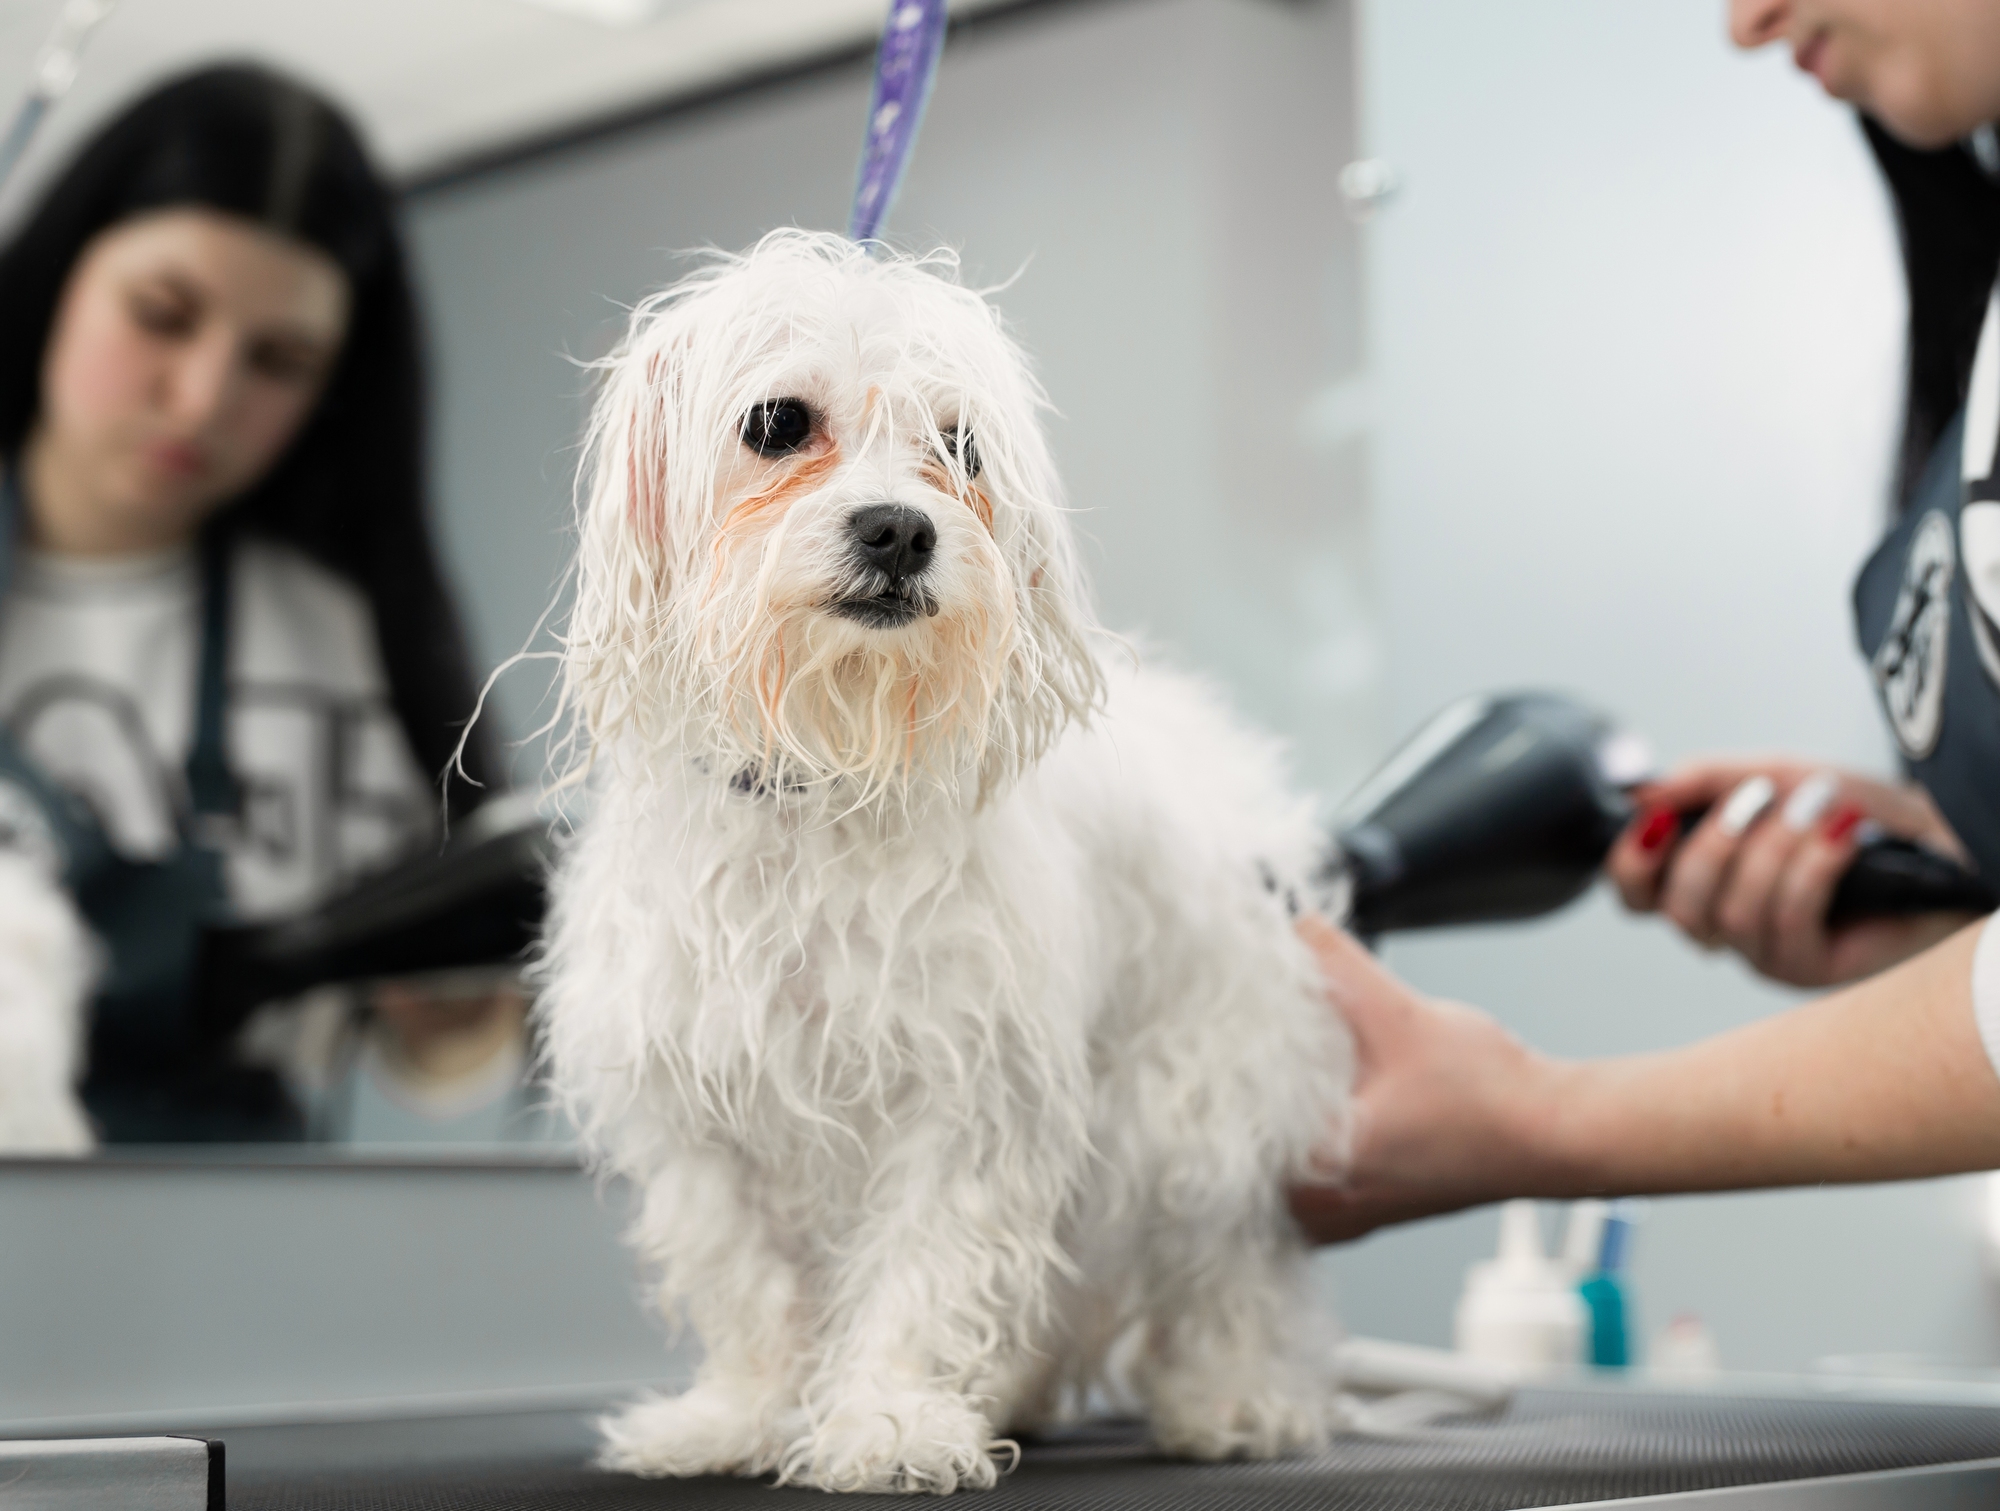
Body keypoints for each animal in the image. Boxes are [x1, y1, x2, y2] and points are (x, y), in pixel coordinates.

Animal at [540, 229, 1352, 1495]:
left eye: (959, 447)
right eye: (776, 422)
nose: (900, 528)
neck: (822, 776)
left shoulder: (968, 1088)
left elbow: (928, 1266)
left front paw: (887, 1419)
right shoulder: (706, 1115)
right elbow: (745, 1283)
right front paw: (738, 1414)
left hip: (1191, 1099)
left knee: (1222, 1261)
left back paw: (1234, 1395)